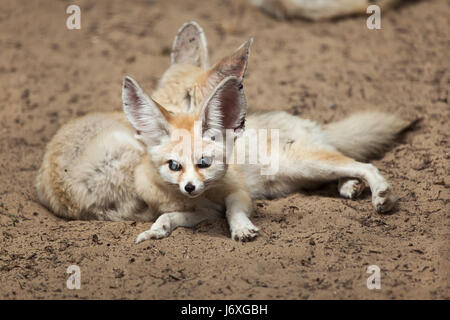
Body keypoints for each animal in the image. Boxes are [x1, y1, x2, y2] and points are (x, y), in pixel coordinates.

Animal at [36, 21, 412, 242]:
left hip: (302, 163)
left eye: (204, 162)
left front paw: (241, 226)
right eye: (174, 166)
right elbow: (174, 216)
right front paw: (157, 230)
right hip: (301, 170)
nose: (190, 187)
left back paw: (377, 192)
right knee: (345, 164)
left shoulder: (230, 195)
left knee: (361, 163)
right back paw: (350, 187)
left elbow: (233, 208)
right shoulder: (198, 207)